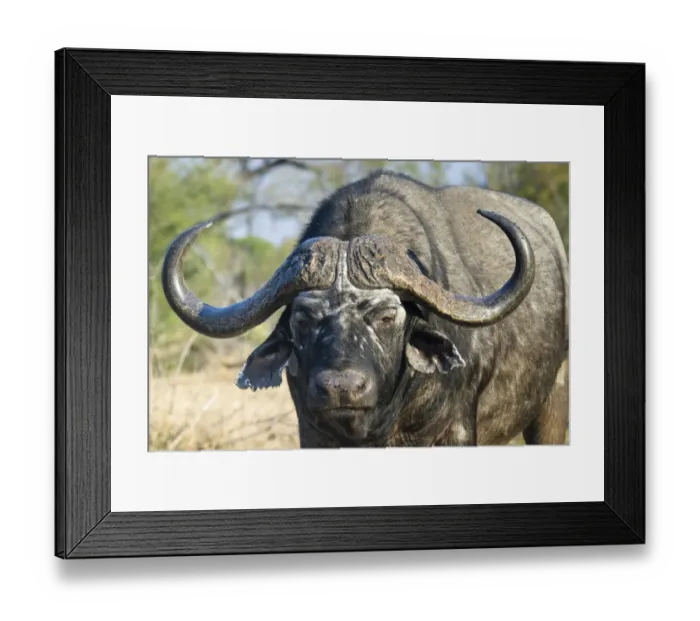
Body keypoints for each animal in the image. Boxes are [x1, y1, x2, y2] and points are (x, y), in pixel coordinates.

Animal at [162, 171, 569, 447]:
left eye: (387, 317)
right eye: (303, 319)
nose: (341, 388)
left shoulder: (456, 431)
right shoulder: (312, 434)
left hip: (552, 406)